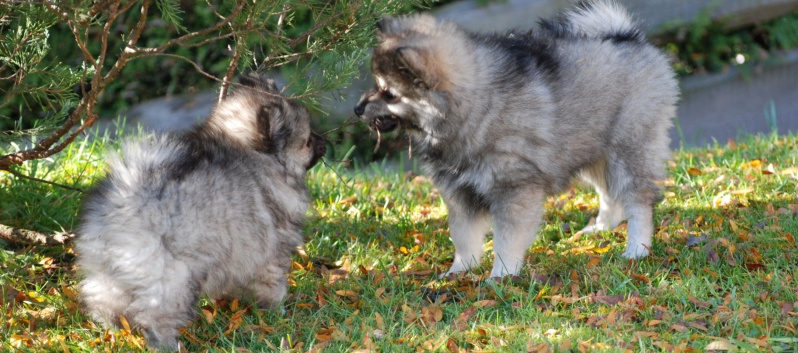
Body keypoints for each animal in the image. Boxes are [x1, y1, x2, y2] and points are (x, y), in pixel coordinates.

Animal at [75, 75, 324, 350]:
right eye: (307, 142)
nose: (324, 142)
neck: (253, 155)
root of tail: (121, 202)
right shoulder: (272, 256)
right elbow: (273, 287)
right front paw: (277, 312)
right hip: (173, 277)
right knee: (155, 314)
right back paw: (167, 344)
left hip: (109, 273)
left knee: (104, 299)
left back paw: (114, 328)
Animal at [356, 2, 680, 278]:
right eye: (375, 84)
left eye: (389, 93)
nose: (357, 108)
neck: (475, 107)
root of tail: (628, 37)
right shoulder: (460, 192)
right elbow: (463, 235)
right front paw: (460, 270)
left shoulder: (513, 189)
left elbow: (506, 239)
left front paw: (501, 275)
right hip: (591, 150)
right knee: (611, 195)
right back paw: (600, 229)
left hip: (629, 149)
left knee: (638, 201)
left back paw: (637, 249)